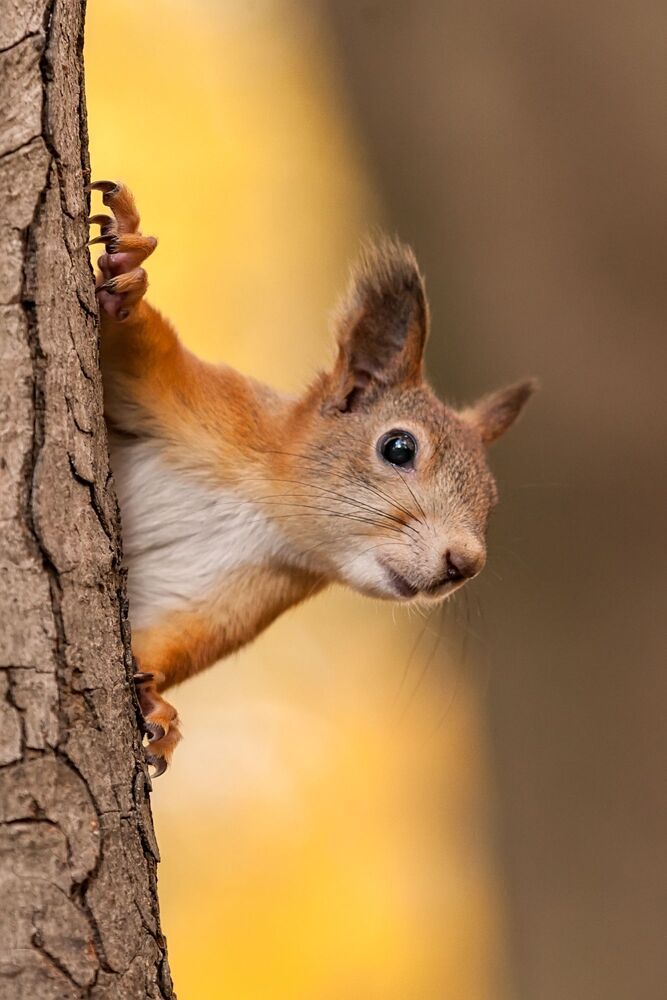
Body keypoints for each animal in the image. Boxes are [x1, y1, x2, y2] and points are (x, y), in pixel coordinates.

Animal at [88, 180, 536, 775]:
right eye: (399, 447)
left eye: (492, 499)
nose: (464, 564)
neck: (268, 510)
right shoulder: (201, 402)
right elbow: (133, 346)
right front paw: (127, 270)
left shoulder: (232, 603)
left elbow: (160, 645)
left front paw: (159, 707)